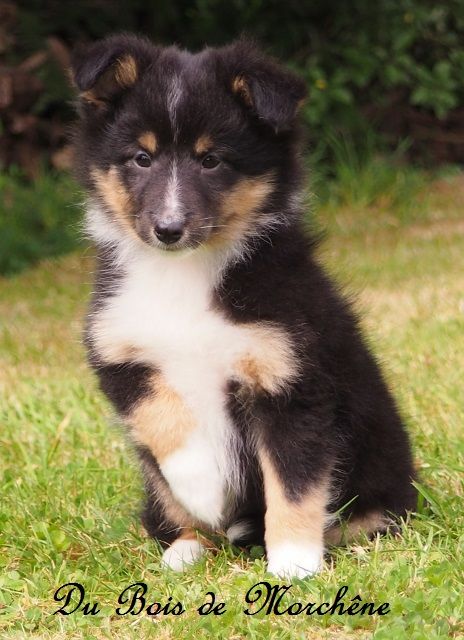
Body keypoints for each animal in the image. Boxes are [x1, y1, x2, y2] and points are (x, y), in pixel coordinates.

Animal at [71, 34, 417, 578]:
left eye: (211, 160)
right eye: (141, 158)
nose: (168, 230)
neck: (185, 273)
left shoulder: (291, 381)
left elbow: (294, 481)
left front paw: (294, 563)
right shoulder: (118, 353)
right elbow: (162, 417)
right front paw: (201, 488)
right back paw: (187, 546)